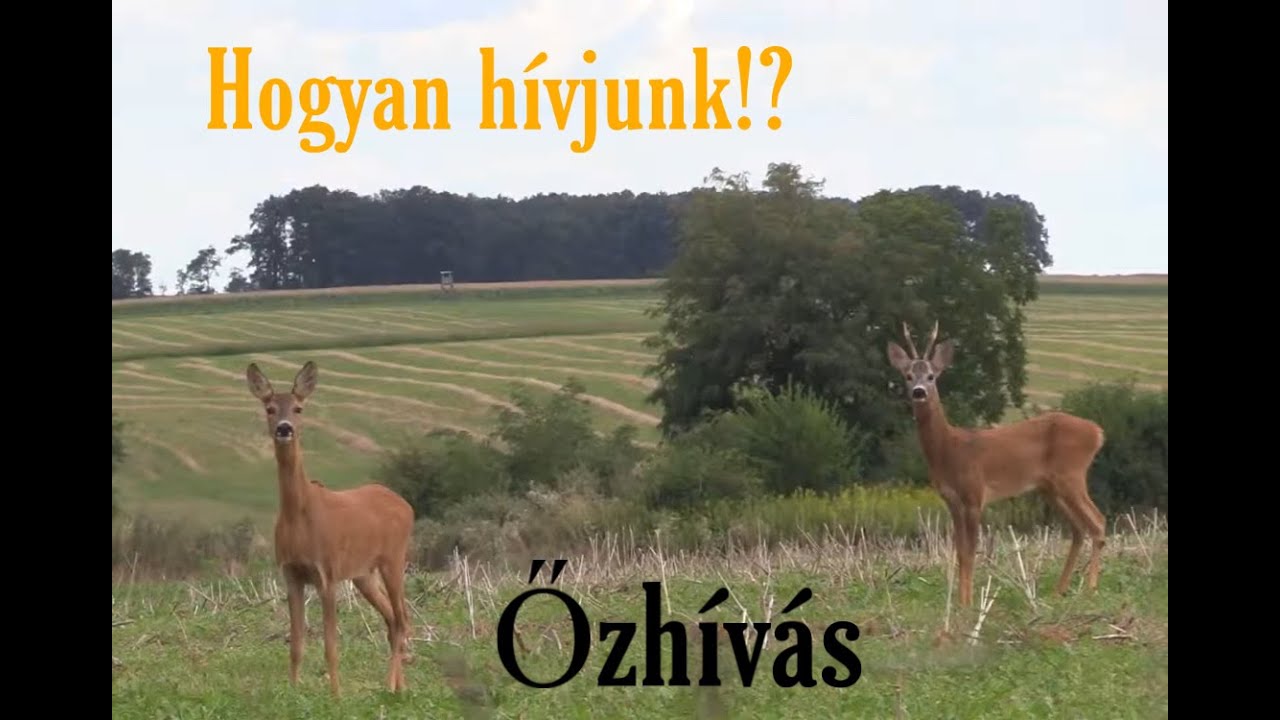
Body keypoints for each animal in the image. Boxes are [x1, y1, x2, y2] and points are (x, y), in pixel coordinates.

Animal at [244, 360, 416, 696]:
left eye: (298, 408)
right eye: (270, 408)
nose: (285, 428)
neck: (300, 516)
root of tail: (405, 504)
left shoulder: (327, 572)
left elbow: (330, 645)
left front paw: (336, 695)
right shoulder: (291, 574)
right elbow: (296, 643)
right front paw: (293, 691)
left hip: (394, 559)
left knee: (402, 618)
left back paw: (390, 685)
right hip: (364, 573)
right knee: (392, 619)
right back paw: (399, 686)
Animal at [886, 321, 1108, 609]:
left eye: (932, 376)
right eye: (908, 376)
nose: (919, 392)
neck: (950, 450)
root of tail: (1097, 433)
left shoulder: (974, 495)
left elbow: (971, 551)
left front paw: (968, 604)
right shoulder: (952, 500)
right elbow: (960, 552)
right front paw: (961, 602)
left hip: (1071, 475)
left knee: (1098, 521)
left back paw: (1090, 588)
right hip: (1050, 487)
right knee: (1079, 528)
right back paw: (1059, 590)